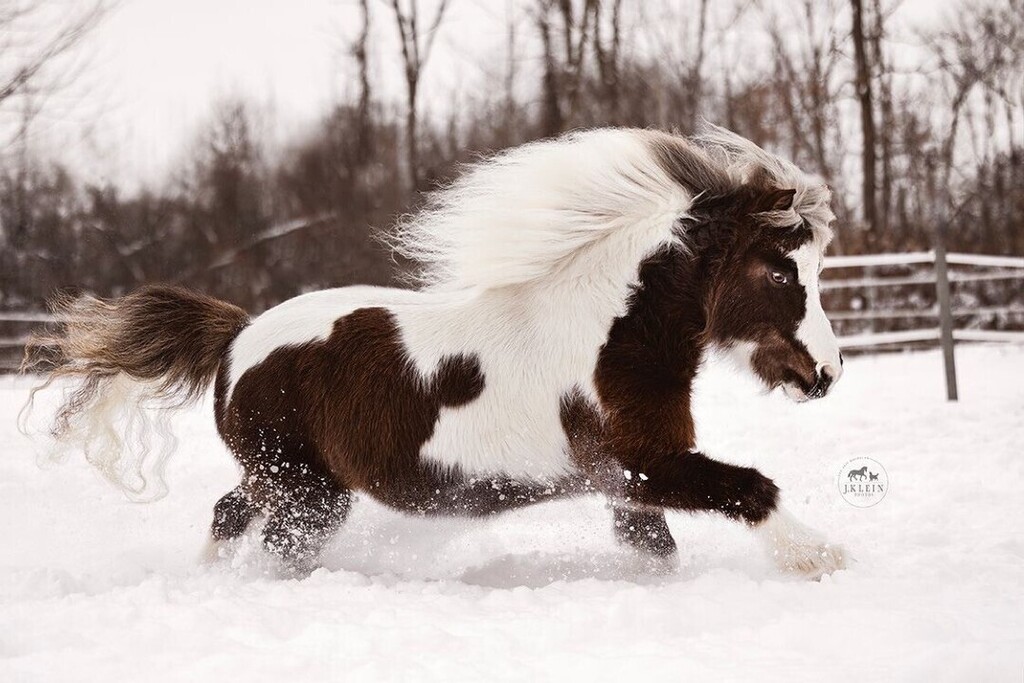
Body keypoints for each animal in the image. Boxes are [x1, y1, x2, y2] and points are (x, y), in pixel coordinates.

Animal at [25, 125, 846, 578]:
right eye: (781, 270)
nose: (824, 374)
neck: (606, 338)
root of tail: (236, 339)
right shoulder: (641, 465)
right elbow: (752, 488)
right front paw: (821, 559)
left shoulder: (627, 483)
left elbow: (655, 548)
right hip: (301, 490)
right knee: (263, 535)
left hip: (291, 485)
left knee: (229, 513)